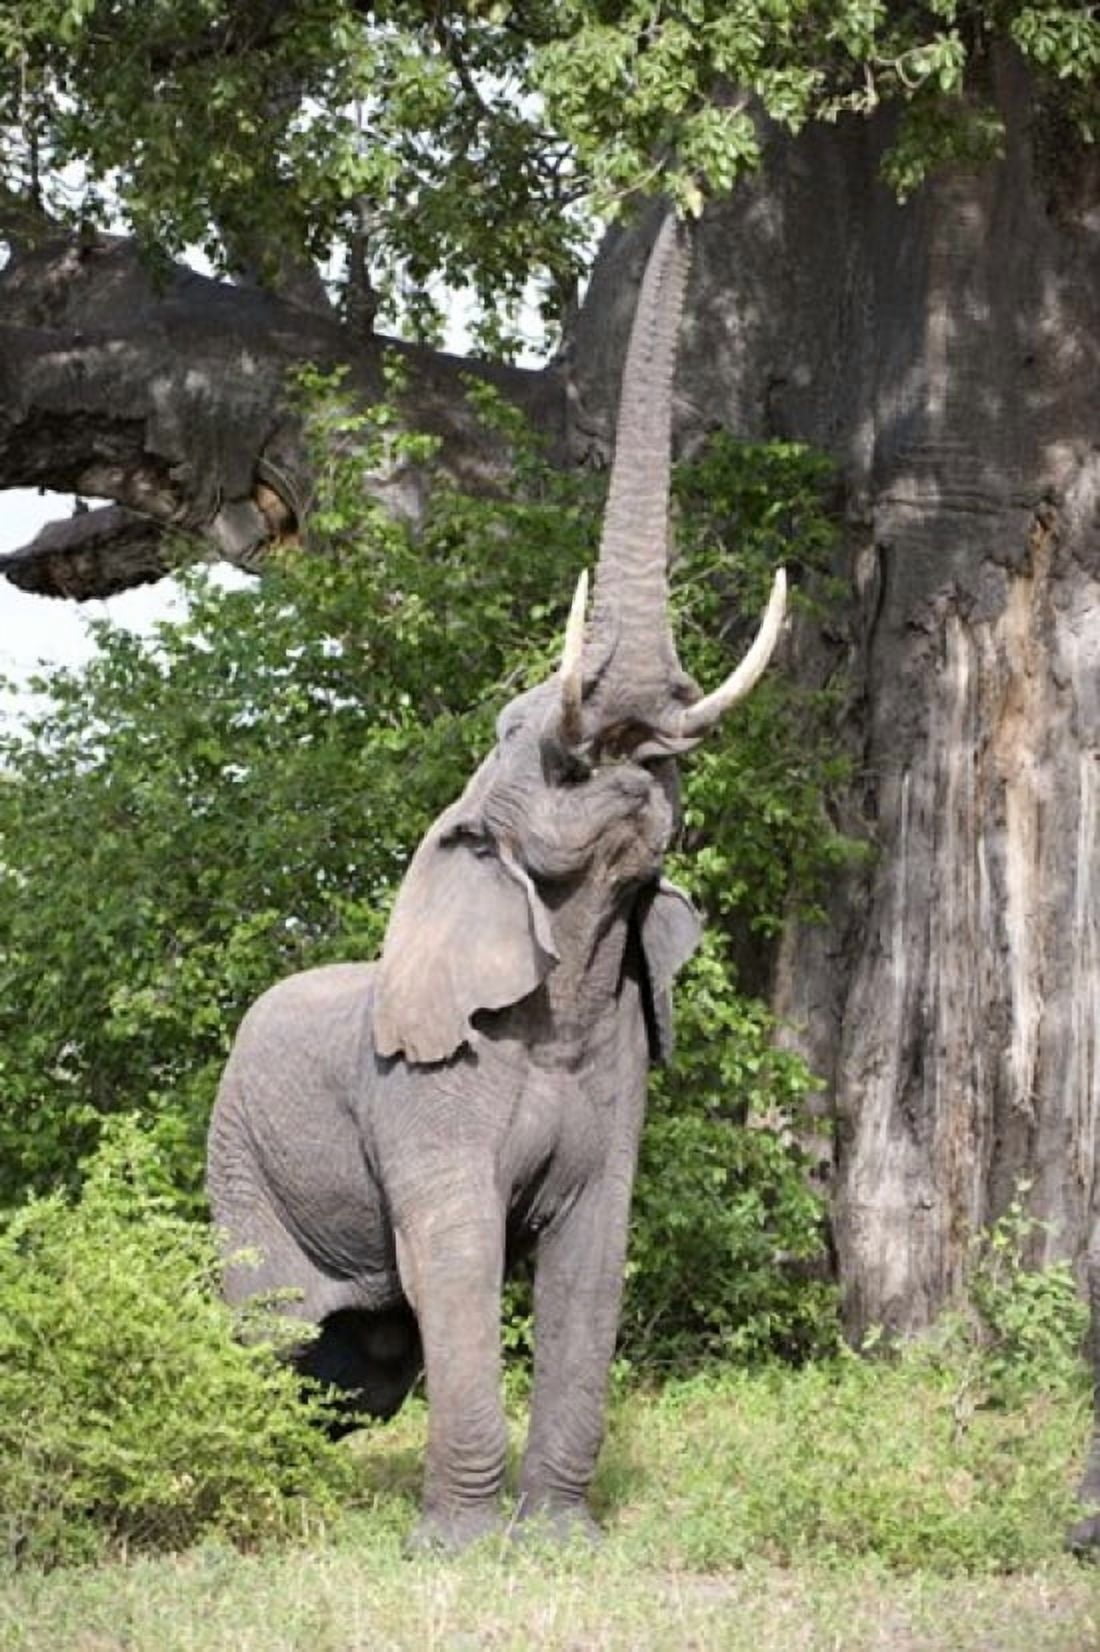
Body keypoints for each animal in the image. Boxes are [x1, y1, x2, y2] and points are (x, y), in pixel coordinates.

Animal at [206, 212, 787, 1551]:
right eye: (536, 739)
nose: (688, 199)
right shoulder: (425, 1088)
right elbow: (459, 1253)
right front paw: (464, 1551)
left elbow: (591, 1255)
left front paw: (558, 1541)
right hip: (237, 1162)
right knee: (272, 1332)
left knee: (367, 1353)